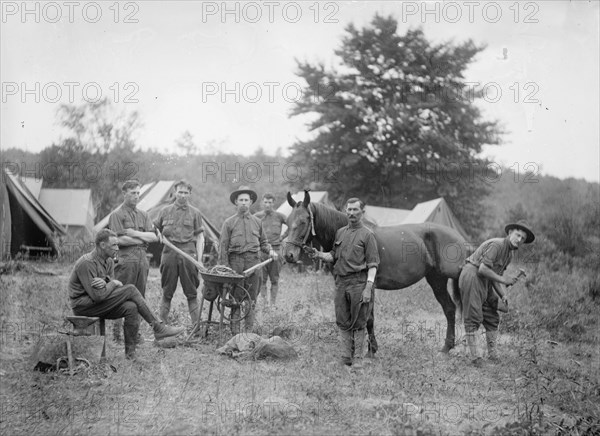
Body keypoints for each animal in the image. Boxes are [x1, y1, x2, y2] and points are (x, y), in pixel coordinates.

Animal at [284, 192, 472, 354]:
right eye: (287, 221)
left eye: (304, 221)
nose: (289, 255)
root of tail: (460, 238)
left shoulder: (369, 287)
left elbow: (368, 319)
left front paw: (371, 351)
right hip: (436, 280)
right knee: (449, 309)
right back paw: (446, 348)